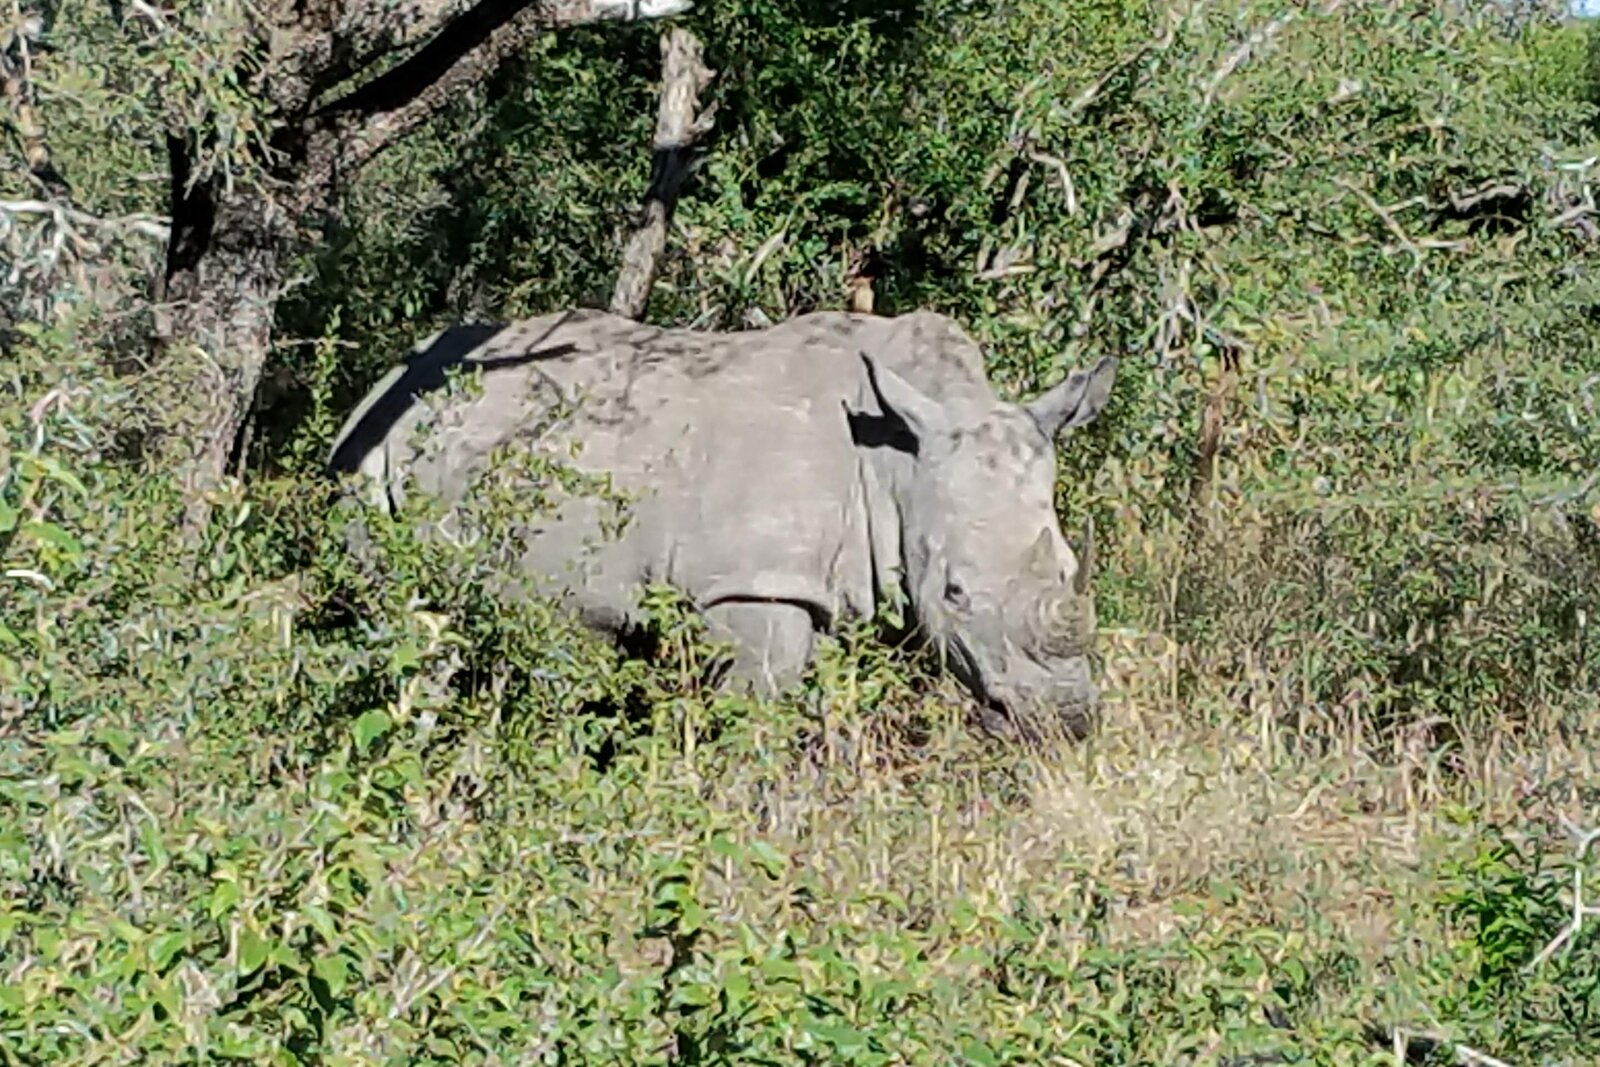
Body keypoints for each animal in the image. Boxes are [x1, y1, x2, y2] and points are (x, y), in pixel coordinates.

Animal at [328, 308, 1117, 738]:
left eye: (1070, 571)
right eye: (953, 592)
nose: (1066, 721)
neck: (897, 454)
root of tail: (382, 385)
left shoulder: (827, 584)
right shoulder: (753, 582)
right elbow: (759, 711)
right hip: (368, 468)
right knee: (411, 626)